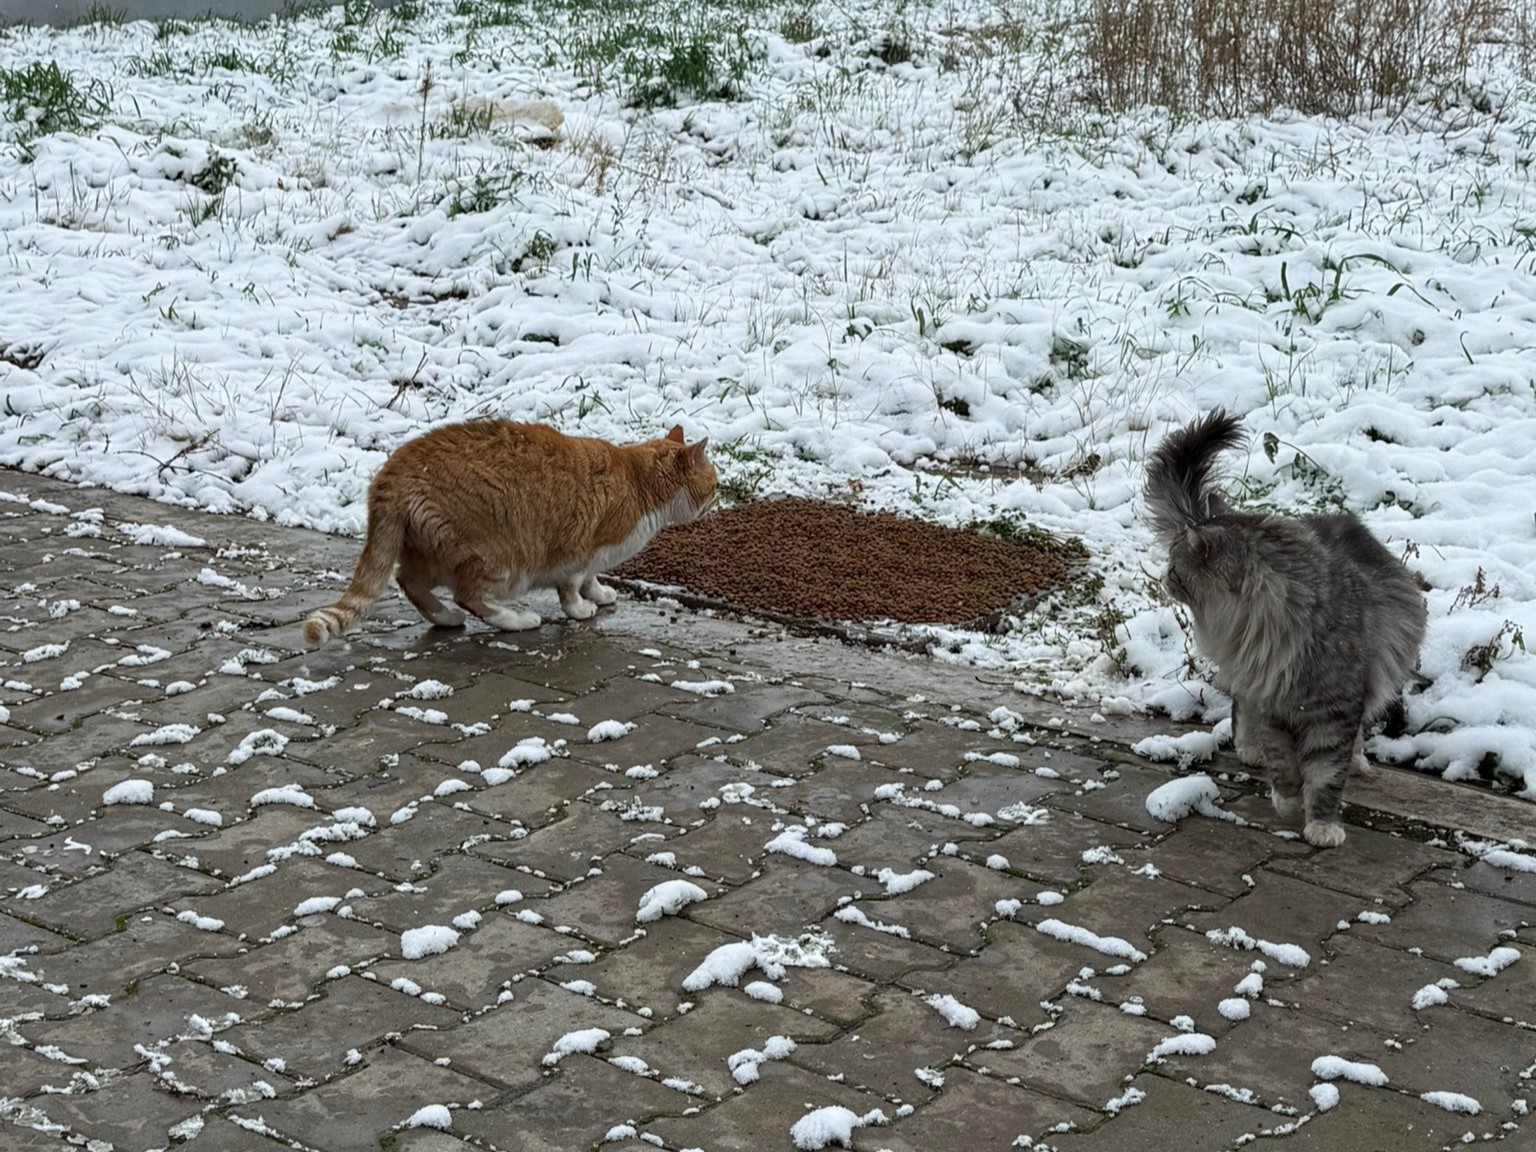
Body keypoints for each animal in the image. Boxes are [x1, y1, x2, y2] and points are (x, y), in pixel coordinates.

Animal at [302, 421, 716, 648]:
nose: (718, 496)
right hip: (494, 558)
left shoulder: (595, 555)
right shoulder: (578, 549)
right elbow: (572, 587)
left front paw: (599, 594)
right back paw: (516, 619)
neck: (637, 482)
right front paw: (582, 608)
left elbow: (592, 578)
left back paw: (445, 618)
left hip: (428, 551)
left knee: (410, 582)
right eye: (713, 483)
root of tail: (393, 470)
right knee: (469, 595)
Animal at [1145, 409, 1426, 848]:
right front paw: (1289, 802)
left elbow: (1327, 775)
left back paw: (1359, 760)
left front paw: (1322, 825)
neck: (1274, 633)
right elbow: (1283, 764)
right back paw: (1250, 749)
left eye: (1175, 568)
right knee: (1240, 708)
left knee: (1356, 735)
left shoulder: (1335, 711)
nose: (1163, 578)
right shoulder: (1270, 702)